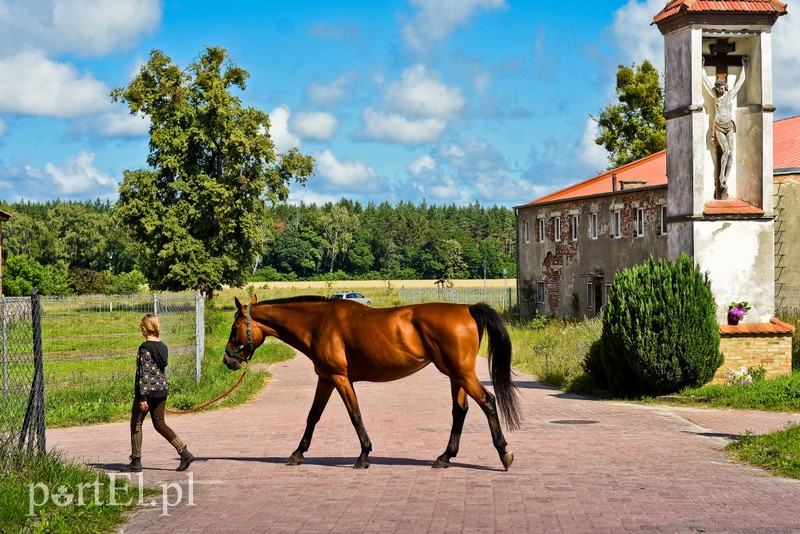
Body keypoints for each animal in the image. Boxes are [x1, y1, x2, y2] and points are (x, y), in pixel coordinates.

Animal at [227, 296, 524, 472]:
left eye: (234, 329)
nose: (228, 360)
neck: (318, 323)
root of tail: (467, 309)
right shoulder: (325, 378)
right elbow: (314, 415)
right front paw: (298, 453)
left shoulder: (340, 378)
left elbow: (354, 414)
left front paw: (363, 455)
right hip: (456, 375)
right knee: (460, 411)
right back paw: (444, 457)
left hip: (462, 374)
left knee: (487, 402)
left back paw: (504, 454)